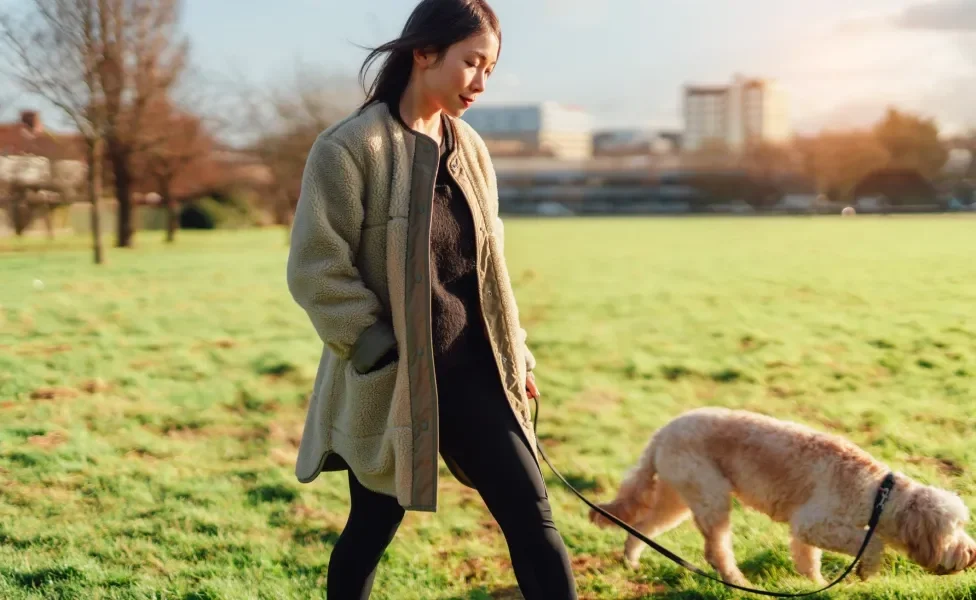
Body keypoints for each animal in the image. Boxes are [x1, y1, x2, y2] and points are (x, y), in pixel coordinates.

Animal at [588, 406, 976, 584]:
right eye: (953, 529)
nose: (971, 554)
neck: (878, 493)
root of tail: (662, 432)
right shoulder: (814, 523)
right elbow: (872, 543)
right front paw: (865, 571)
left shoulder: (806, 531)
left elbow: (808, 560)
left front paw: (818, 584)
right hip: (711, 498)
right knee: (716, 550)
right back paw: (736, 581)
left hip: (678, 498)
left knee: (643, 528)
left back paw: (631, 560)